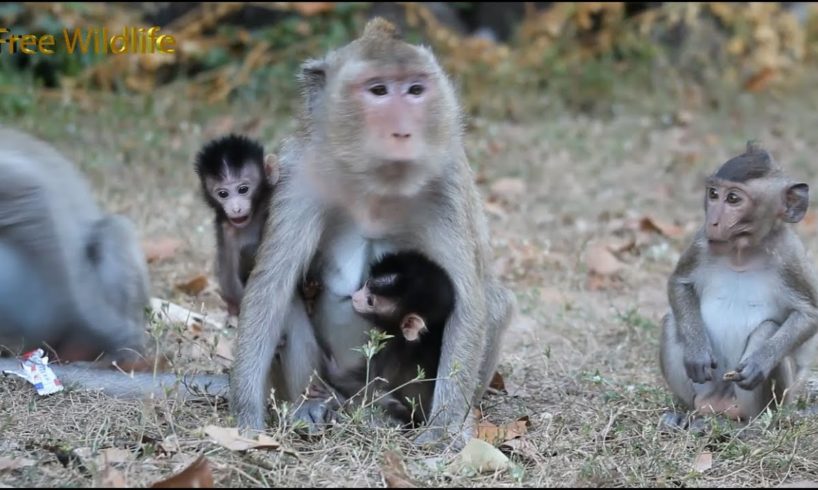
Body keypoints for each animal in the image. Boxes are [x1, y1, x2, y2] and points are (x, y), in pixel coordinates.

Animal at [656, 140, 816, 426]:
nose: (712, 221)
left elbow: (810, 314)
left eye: (733, 199)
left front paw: (760, 363)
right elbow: (680, 283)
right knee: (672, 322)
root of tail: (719, 405)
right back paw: (688, 415)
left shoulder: (790, 257)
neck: (742, 252)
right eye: (713, 194)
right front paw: (696, 352)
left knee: (766, 329)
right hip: (705, 390)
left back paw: (750, 424)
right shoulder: (702, 242)